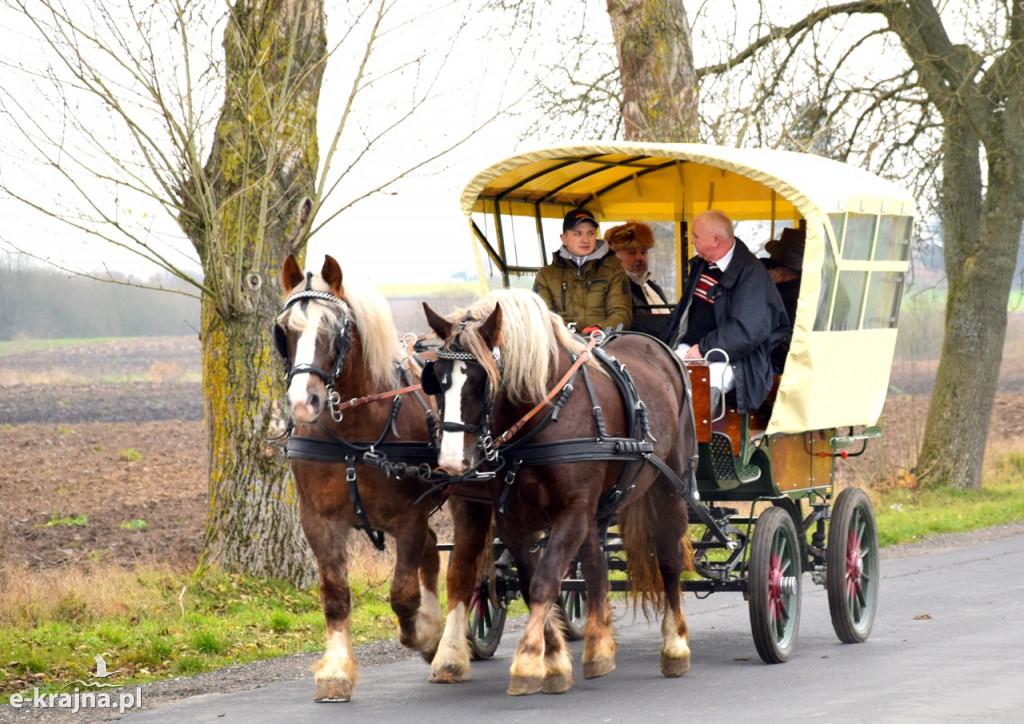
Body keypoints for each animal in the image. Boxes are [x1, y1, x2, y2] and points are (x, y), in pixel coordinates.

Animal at [274, 256, 485, 700]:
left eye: (335, 329)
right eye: (284, 330)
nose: (303, 403)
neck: (355, 434)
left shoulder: (408, 516)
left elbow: (403, 595)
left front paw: (425, 635)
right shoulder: (318, 521)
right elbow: (335, 596)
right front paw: (335, 671)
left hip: (469, 498)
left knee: (462, 570)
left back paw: (449, 653)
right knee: (432, 552)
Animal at [417, 288, 696, 696]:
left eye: (483, 380)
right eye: (436, 379)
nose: (451, 462)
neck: (544, 412)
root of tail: (658, 348)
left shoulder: (573, 508)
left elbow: (546, 579)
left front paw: (529, 661)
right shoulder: (512, 516)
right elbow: (531, 581)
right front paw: (554, 660)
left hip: (670, 487)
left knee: (670, 558)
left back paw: (675, 645)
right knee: (594, 564)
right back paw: (598, 648)